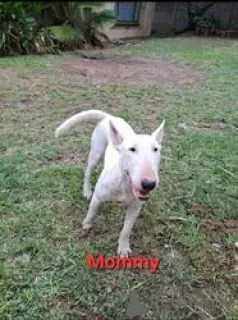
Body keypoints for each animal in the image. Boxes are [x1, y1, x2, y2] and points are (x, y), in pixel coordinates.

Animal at [54, 110, 165, 258]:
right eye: (132, 149)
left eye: (156, 149)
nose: (149, 184)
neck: (125, 184)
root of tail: (110, 117)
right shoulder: (98, 197)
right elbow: (92, 212)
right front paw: (87, 223)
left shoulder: (135, 207)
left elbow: (126, 229)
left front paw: (123, 247)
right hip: (96, 153)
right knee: (88, 172)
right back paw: (86, 190)